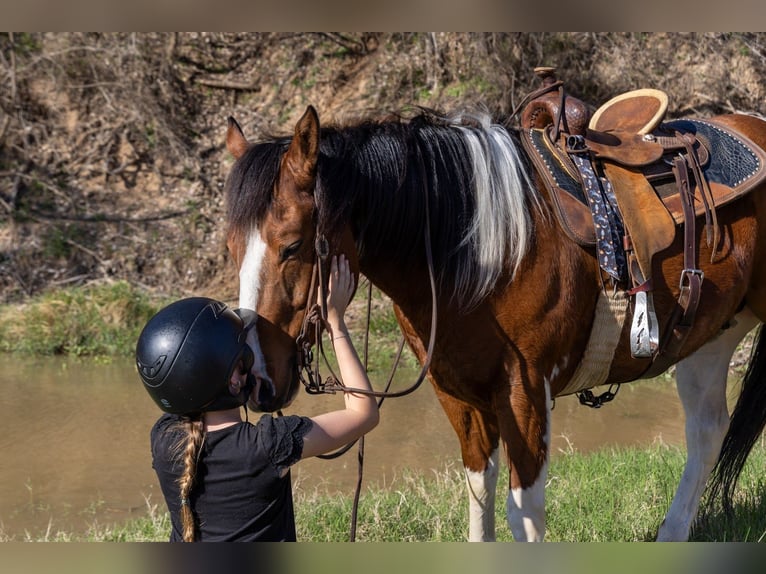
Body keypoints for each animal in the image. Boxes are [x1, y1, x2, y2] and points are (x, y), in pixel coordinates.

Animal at [222, 101, 766, 541]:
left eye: (292, 245)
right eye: (231, 248)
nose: (259, 379)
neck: (482, 248)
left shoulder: (525, 393)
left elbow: (524, 516)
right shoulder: (458, 394)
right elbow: (478, 502)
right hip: (710, 337)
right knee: (707, 431)